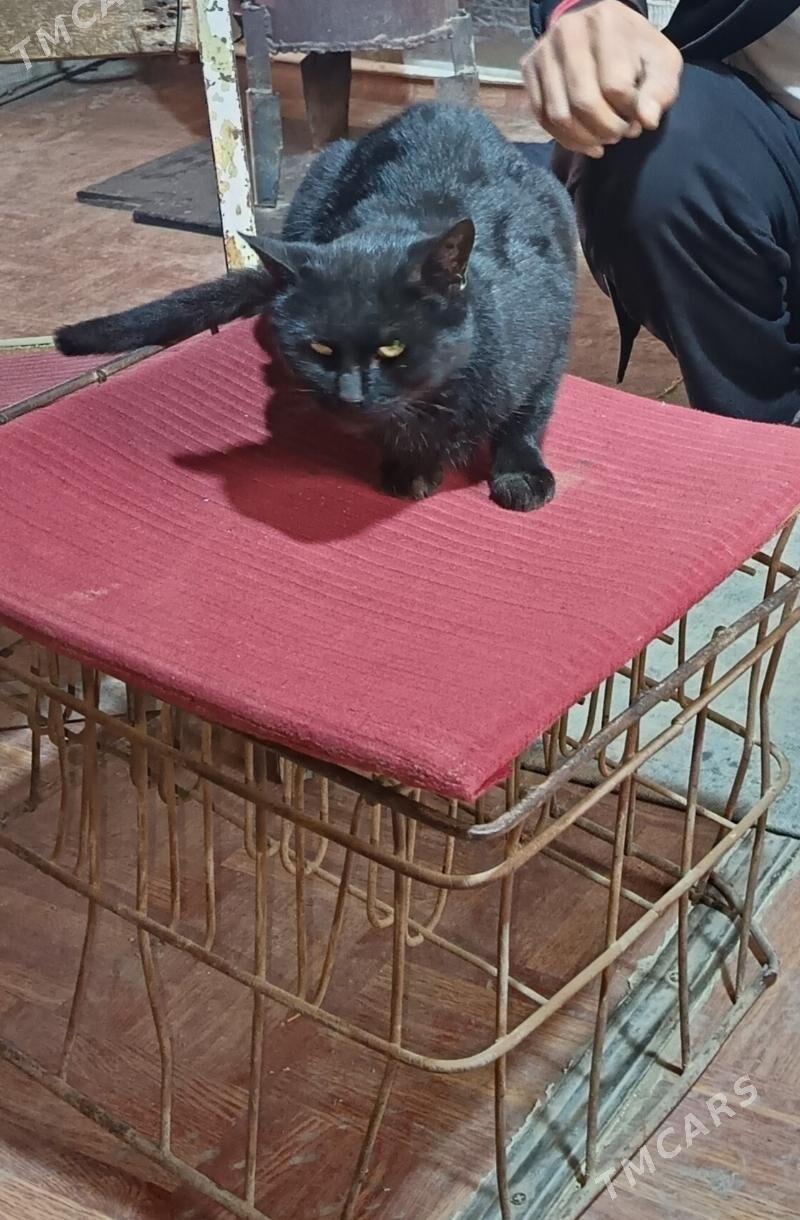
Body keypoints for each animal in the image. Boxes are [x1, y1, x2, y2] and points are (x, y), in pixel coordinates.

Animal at [55, 102, 576, 511]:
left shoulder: (550, 340)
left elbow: (528, 415)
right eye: (319, 350)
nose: (350, 394)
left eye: (392, 349)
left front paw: (519, 473)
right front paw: (409, 466)